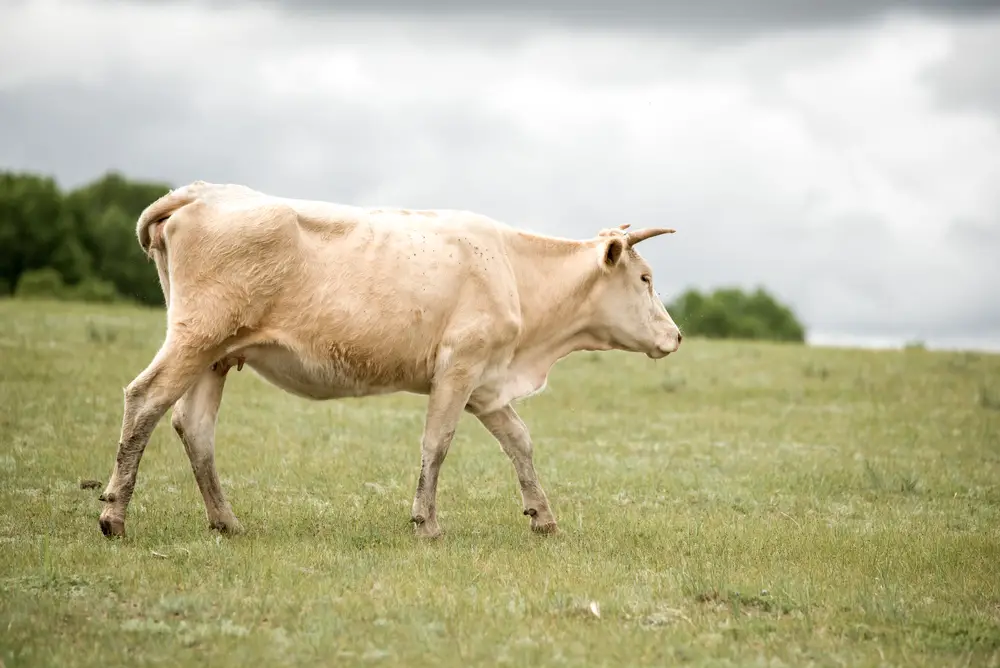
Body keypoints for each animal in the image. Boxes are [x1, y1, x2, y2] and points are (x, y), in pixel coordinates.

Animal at [97, 180, 684, 540]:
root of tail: (202, 192)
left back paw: (226, 521)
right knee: (144, 399)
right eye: (645, 277)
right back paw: (113, 514)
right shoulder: (459, 367)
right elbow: (437, 443)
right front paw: (426, 523)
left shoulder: (486, 384)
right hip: (197, 337)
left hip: (216, 354)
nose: (677, 336)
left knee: (194, 427)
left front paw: (542, 517)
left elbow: (519, 441)